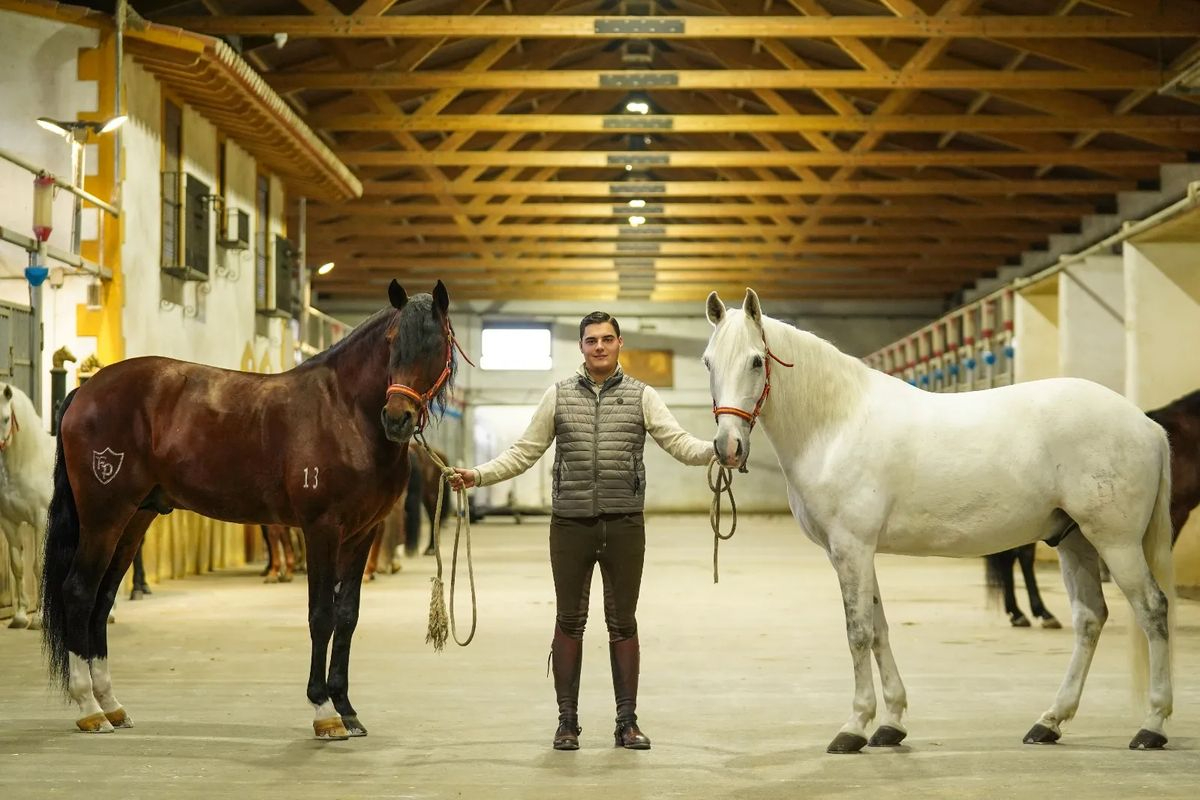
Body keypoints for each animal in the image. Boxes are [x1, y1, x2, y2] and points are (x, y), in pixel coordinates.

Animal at [40, 279, 458, 739]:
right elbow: (321, 615)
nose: (397, 418)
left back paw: (112, 706)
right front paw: (324, 711)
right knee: (79, 591)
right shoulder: (321, 529)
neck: (345, 412)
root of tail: (86, 390)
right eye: (391, 342)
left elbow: (347, 616)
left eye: (436, 344)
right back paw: (89, 709)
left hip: (135, 518)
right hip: (104, 516)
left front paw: (347, 710)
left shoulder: (362, 533)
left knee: (104, 596)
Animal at [702, 288, 1174, 753]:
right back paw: (1049, 722)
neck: (837, 424)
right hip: (1075, 541)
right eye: (708, 361)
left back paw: (1152, 726)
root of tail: (1147, 425)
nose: (728, 447)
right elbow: (879, 629)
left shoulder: (851, 548)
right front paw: (891, 723)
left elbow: (858, 632)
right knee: (1090, 618)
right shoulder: (858, 553)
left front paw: (854, 726)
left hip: (1115, 542)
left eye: (756, 361)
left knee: (1153, 609)